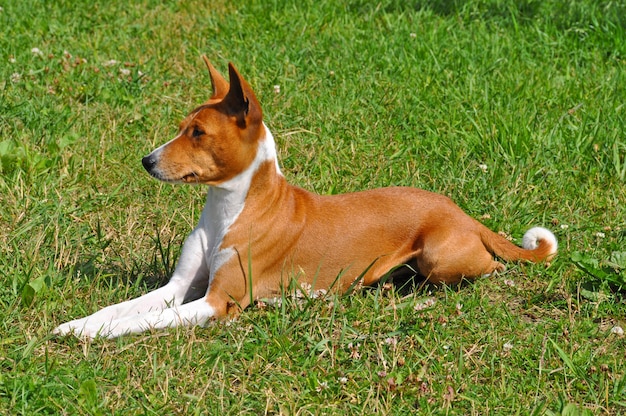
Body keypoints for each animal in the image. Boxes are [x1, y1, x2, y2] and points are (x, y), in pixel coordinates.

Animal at [53, 57, 552, 340]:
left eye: (198, 133)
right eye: (181, 127)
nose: (146, 161)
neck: (227, 210)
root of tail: (459, 211)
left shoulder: (217, 302)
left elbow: (138, 321)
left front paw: (93, 336)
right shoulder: (179, 287)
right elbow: (122, 308)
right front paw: (80, 324)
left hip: (440, 258)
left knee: (492, 269)